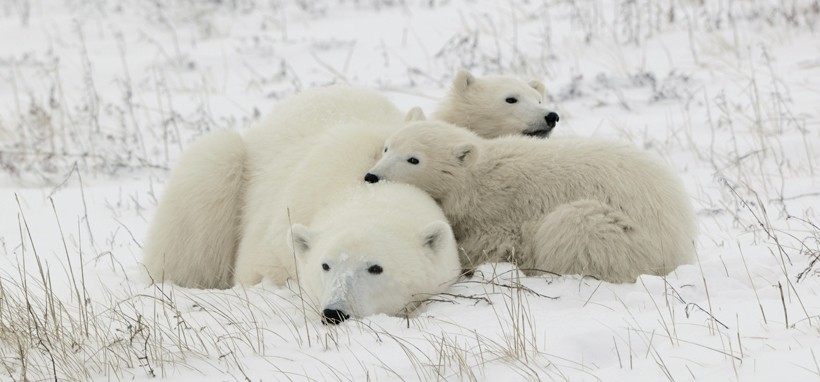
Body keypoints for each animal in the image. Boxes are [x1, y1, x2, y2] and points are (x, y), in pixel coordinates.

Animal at [366, 121, 700, 284]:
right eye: (387, 147)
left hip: (626, 231)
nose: (372, 176)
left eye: (414, 159)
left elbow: (491, 243)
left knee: (577, 227)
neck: (477, 180)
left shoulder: (500, 212)